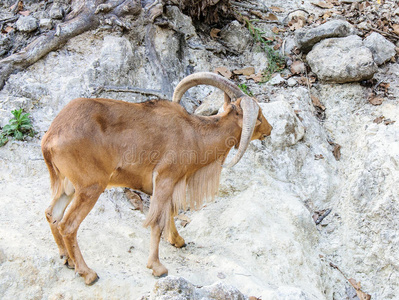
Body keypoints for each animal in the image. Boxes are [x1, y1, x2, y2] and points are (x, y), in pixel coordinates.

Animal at [42, 71, 274, 284]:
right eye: (259, 116)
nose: (270, 129)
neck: (194, 134)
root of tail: (50, 137)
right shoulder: (165, 179)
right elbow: (156, 222)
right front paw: (157, 267)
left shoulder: (168, 185)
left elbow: (169, 212)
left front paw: (178, 240)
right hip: (90, 187)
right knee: (68, 226)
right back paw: (87, 273)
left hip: (68, 186)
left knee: (51, 214)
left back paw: (67, 259)